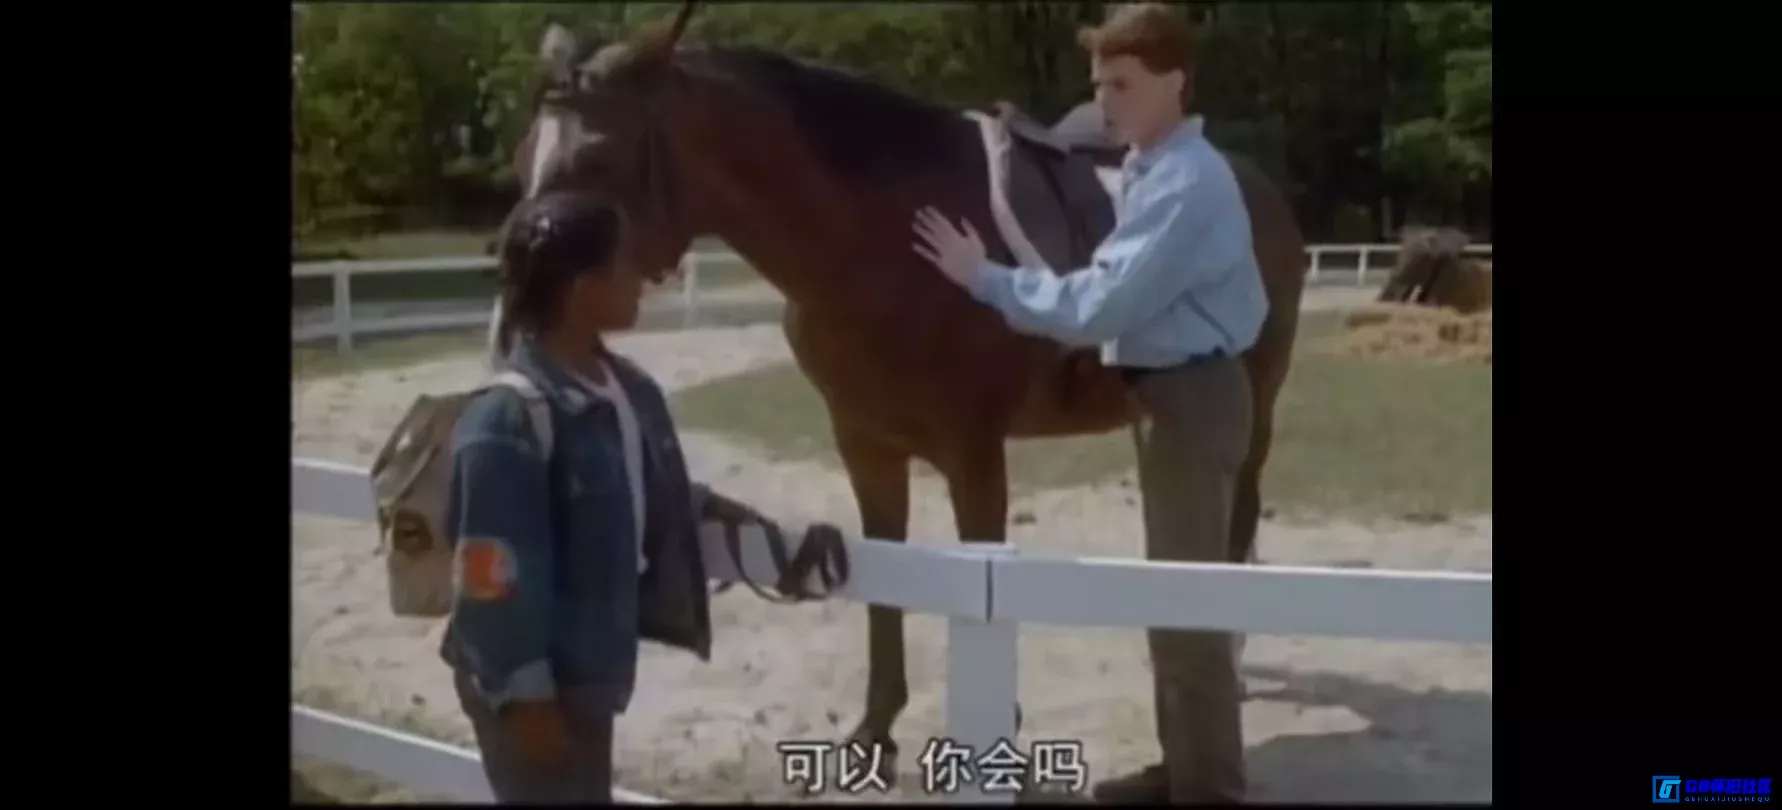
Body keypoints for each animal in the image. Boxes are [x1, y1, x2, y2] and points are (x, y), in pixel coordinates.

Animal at [499, 6, 1307, 777]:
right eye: (522, 155)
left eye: (597, 156)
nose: (521, 305)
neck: (878, 243)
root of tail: (1263, 190)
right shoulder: (867, 445)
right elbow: (885, 583)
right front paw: (874, 730)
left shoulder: (973, 451)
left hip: (1258, 409)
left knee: (1234, 522)